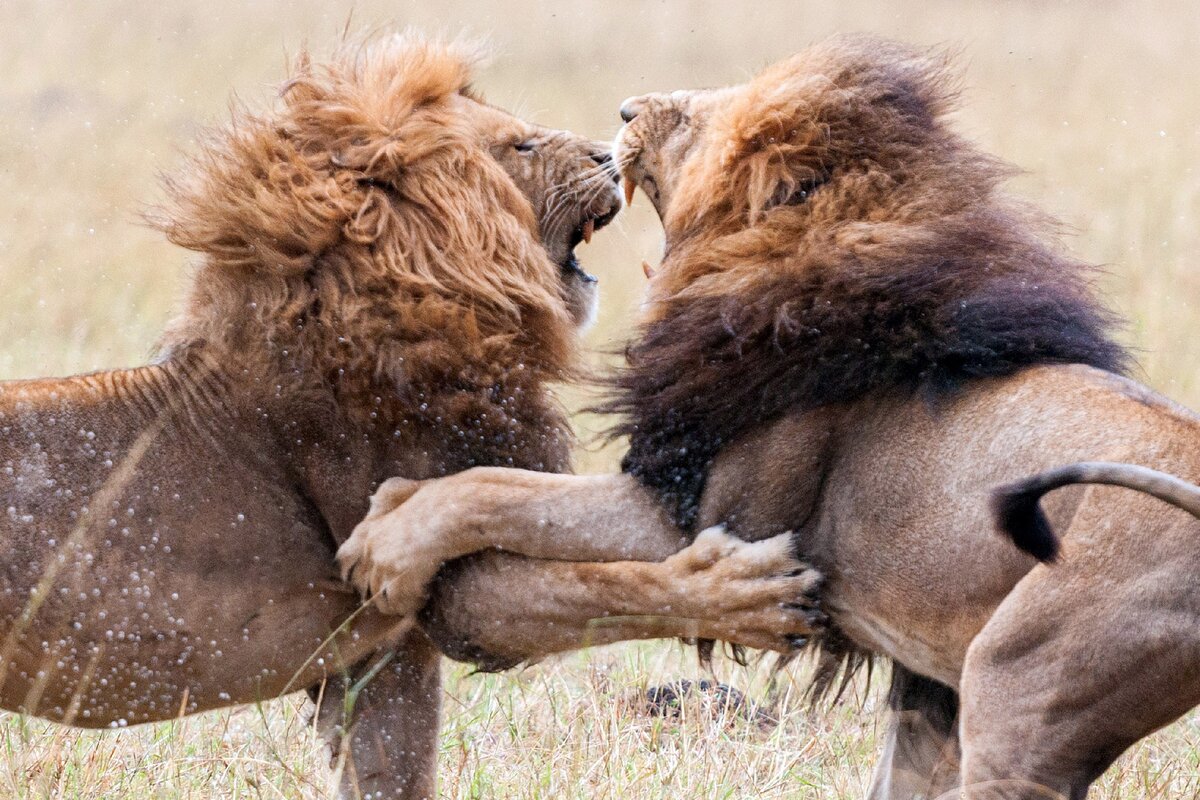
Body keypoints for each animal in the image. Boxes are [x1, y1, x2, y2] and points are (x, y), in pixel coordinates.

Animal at [0, 32, 825, 800]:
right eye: (520, 144)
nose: (604, 150)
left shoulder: (382, 659)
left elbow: (395, 769)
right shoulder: (458, 594)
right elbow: (617, 588)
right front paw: (754, 595)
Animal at [338, 37, 1200, 800]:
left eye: (688, 122)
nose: (625, 111)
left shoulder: (709, 515)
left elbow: (502, 490)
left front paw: (388, 538)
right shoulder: (919, 686)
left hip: (1019, 688)